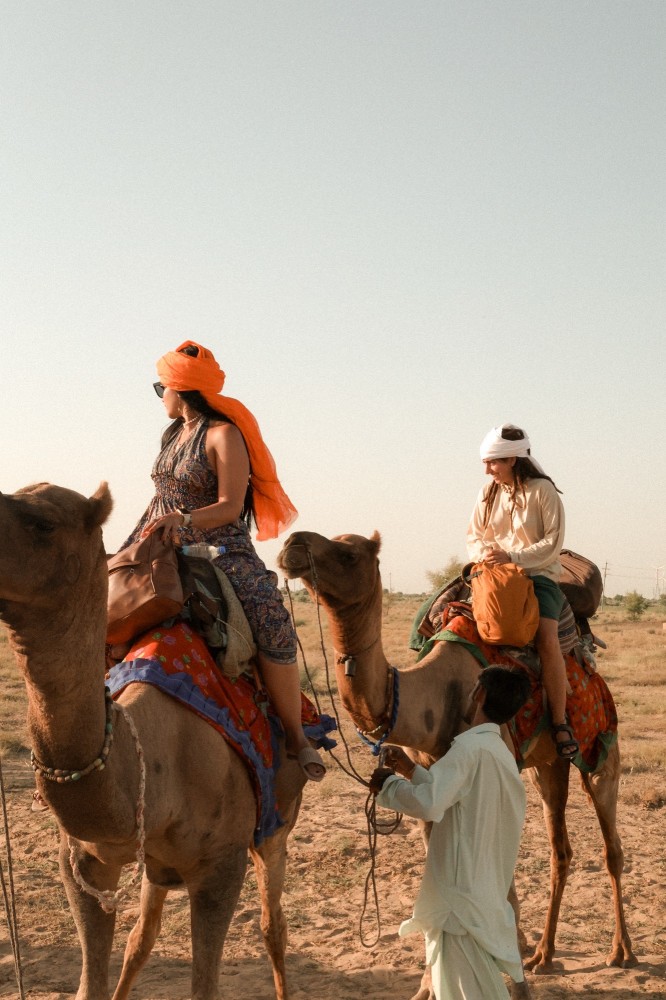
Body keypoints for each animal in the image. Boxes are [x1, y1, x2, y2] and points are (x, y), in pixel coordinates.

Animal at [0, 481, 307, 1000]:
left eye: (44, 522)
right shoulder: (82, 863)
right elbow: (92, 982)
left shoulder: (221, 869)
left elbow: (205, 986)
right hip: (159, 866)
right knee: (142, 937)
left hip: (278, 823)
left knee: (273, 924)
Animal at [277, 530, 636, 1000]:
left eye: (348, 553)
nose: (291, 545)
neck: (435, 694)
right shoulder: (431, 786)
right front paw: (426, 987)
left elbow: (503, 888)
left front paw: (510, 979)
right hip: (547, 766)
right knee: (561, 849)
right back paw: (544, 954)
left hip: (599, 744)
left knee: (611, 845)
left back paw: (620, 951)